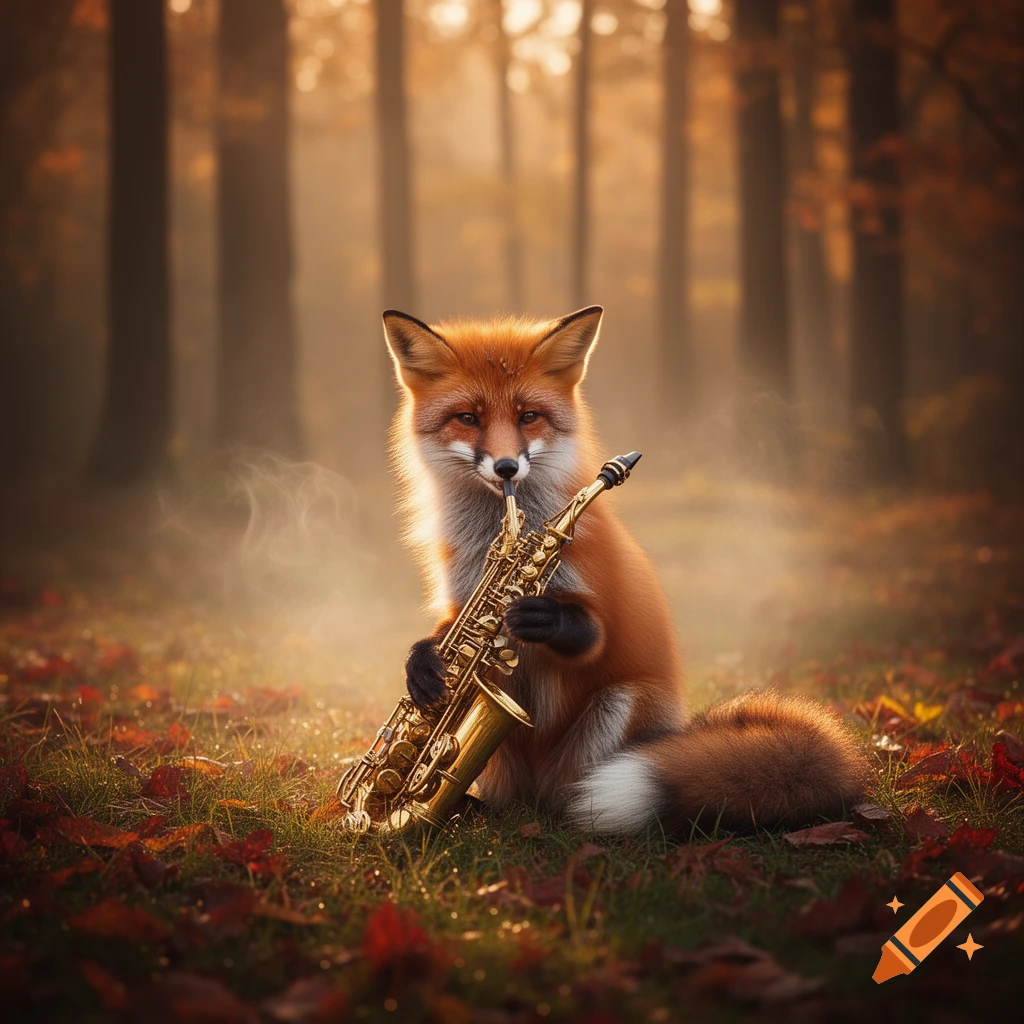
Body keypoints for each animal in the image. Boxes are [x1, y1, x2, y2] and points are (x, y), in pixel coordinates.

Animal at [382, 304, 868, 834]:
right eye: (468, 418)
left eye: (528, 416)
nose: (507, 468)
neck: (494, 531)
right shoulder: (458, 598)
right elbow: (444, 635)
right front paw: (422, 664)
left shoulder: (601, 597)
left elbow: (592, 633)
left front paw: (541, 617)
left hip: (621, 703)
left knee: (573, 797)